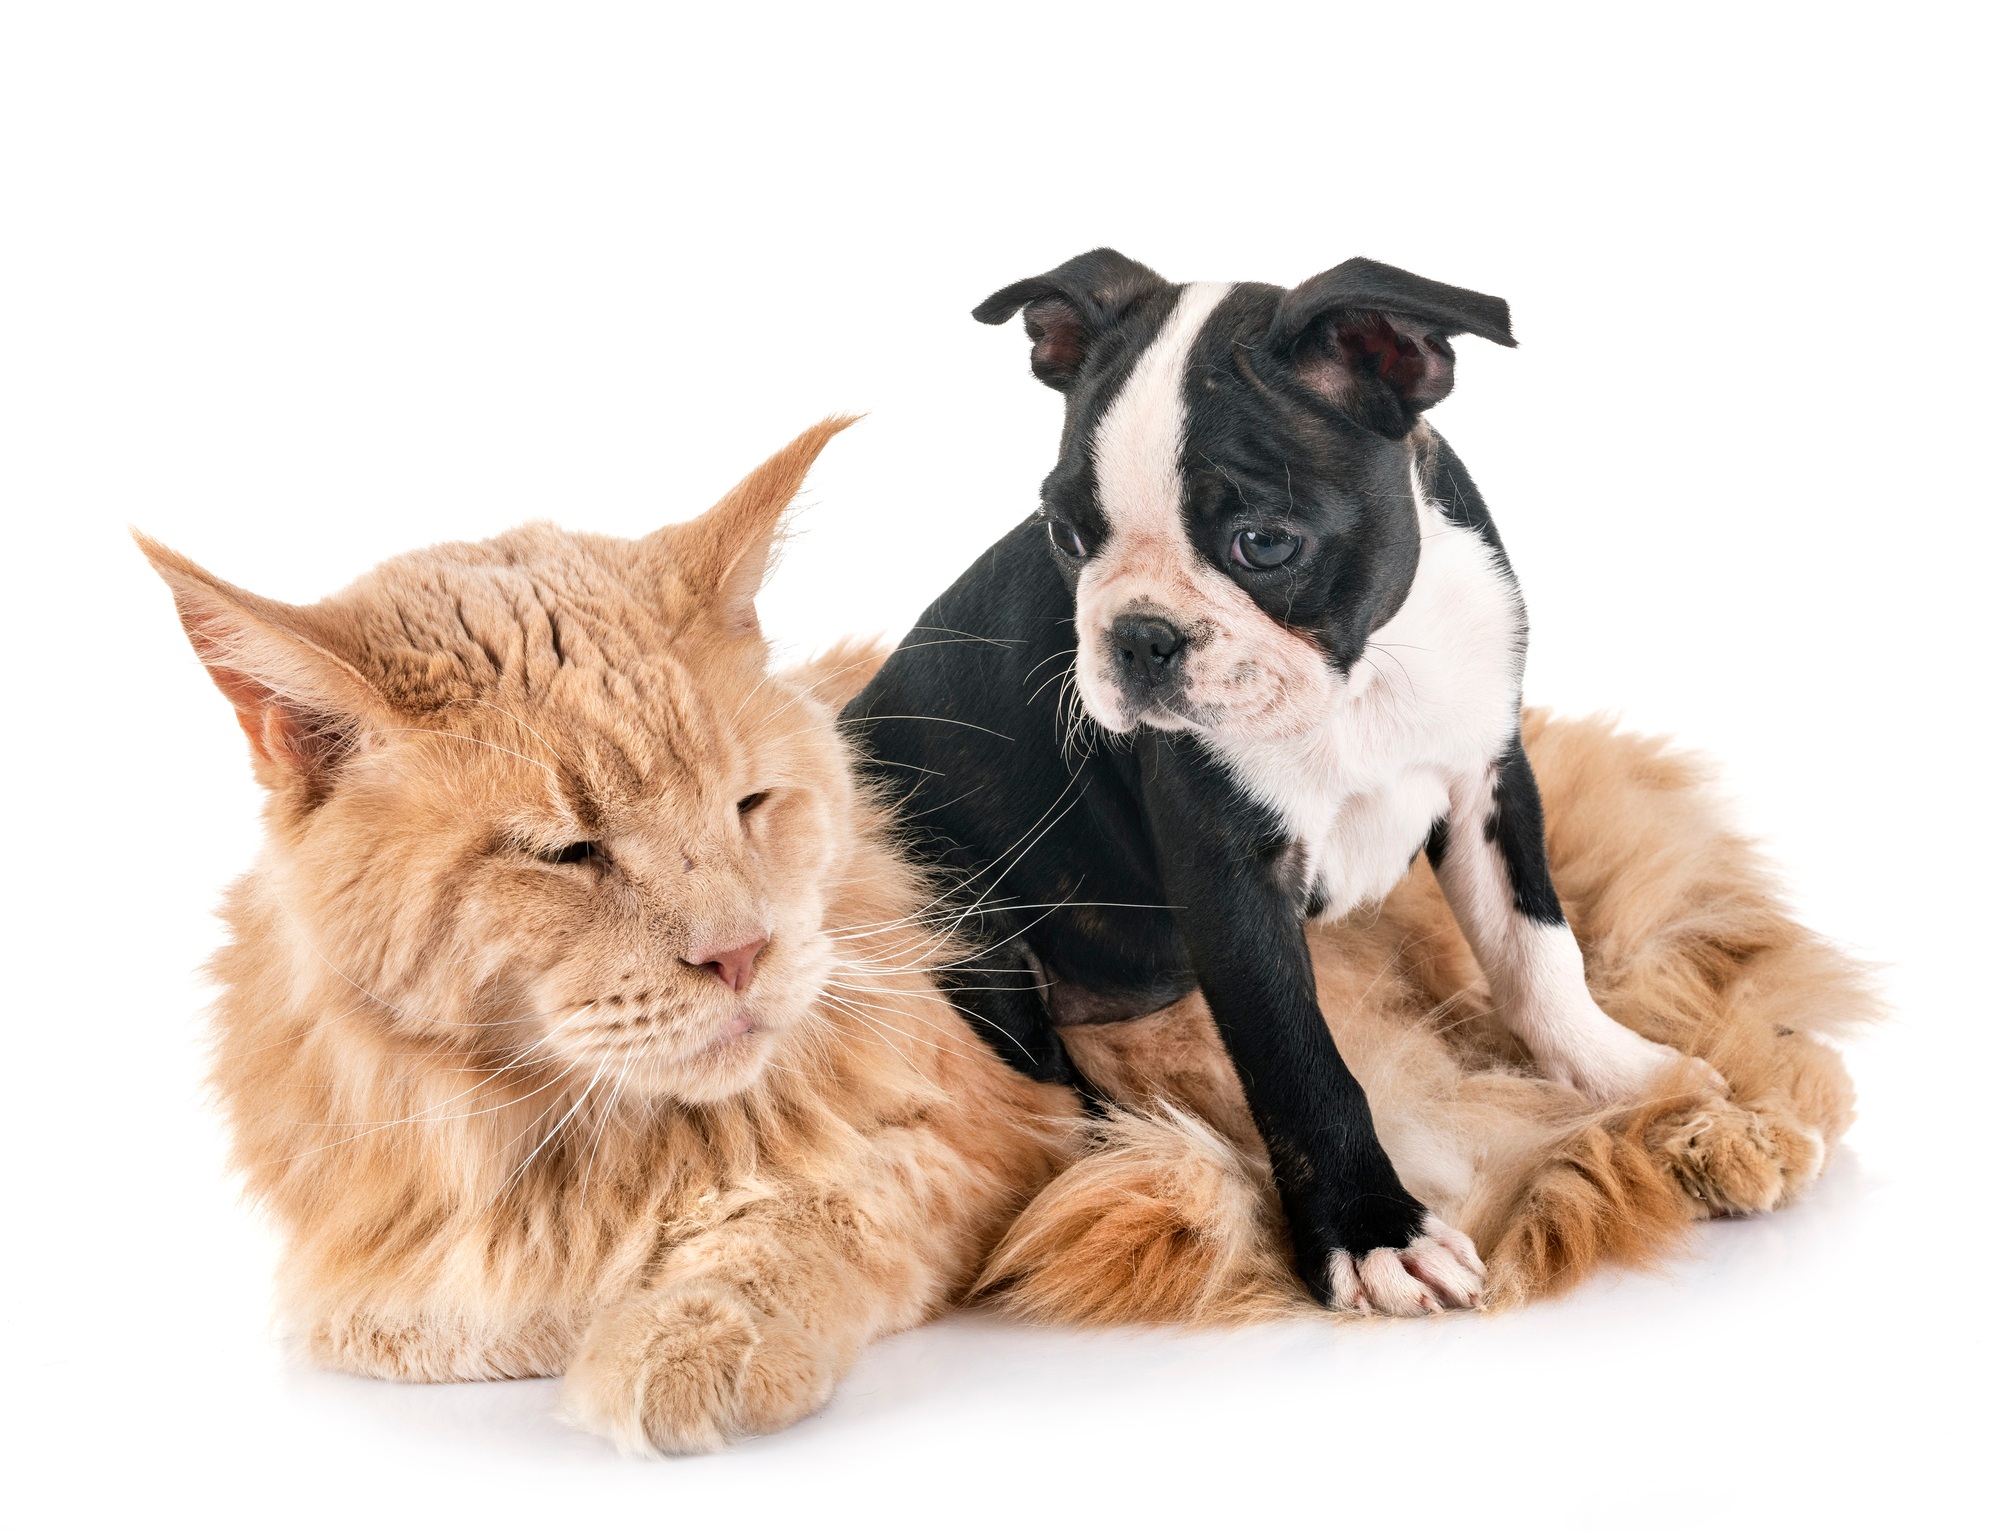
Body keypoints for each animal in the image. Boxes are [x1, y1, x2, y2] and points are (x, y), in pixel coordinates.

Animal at [836, 255, 1712, 1320]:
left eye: (1263, 543)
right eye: (1066, 535)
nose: (1138, 635)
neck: (1360, 674)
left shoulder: (1489, 779)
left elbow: (1537, 949)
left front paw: (1616, 1075)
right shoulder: (1228, 871)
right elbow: (1300, 1063)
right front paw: (1373, 1233)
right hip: (948, 903)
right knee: (1043, 1080)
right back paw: (1131, 1149)